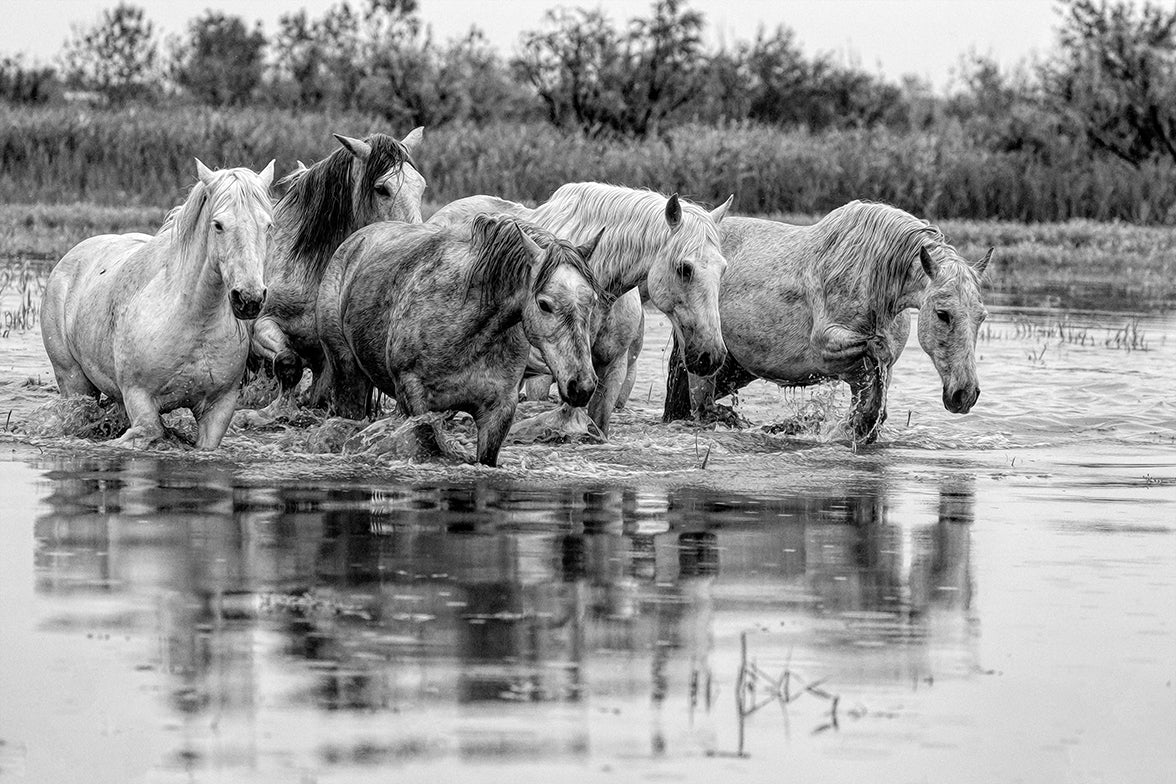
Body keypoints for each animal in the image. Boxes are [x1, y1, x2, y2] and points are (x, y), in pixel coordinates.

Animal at [41, 159, 275, 446]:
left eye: (267, 226)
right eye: (218, 225)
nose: (249, 298)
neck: (195, 322)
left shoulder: (219, 409)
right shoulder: (139, 397)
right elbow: (150, 431)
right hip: (74, 381)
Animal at [315, 215, 602, 465]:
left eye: (592, 301)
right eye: (544, 304)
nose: (582, 386)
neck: (469, 336)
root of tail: (353, 242)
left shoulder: (499, 412)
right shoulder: (415, 400)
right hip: (348, 375)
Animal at [667, 199, 987, 444]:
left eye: (981, 317)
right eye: (943, 314)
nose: (964, 395)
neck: (871, 276)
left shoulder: (866, 371)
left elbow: (870, 408)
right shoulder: (827, 346)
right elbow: (876, 352)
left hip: (733, 369)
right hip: (704, 362)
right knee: (702, 408)